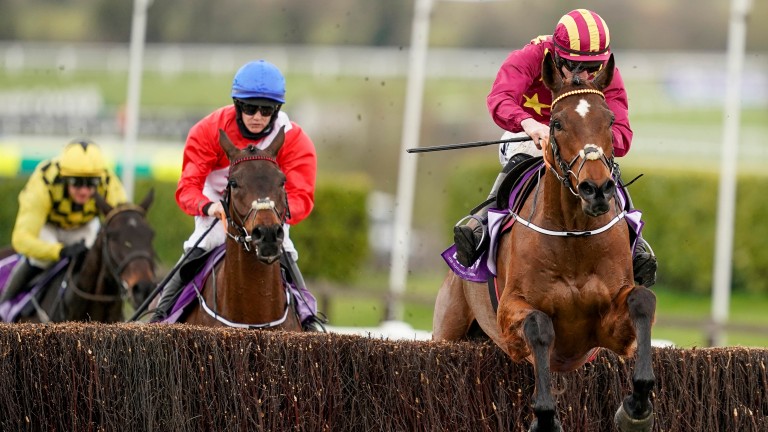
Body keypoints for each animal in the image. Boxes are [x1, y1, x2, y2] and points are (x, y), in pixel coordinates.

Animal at [436, 53, 656, 432]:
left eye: (610, 120)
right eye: (555, 123)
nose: (596, 190)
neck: (574, 235)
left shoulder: (607, 330)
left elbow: (642, 301)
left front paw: (635, 408)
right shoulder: (511, 315)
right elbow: (539, 327)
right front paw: (545, 418)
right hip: (448, 327)